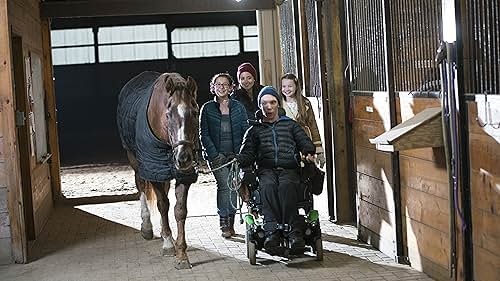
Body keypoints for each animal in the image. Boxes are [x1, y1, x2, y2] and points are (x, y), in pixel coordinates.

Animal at [116, 71, 199, 268]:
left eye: (194, 112)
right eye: (168, 114)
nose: (183, 158)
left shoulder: (182, 174)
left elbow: (179, 210)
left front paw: (182, 254)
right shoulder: (153, 169)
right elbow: (162, 204)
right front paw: (169, 245)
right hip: (135, 160)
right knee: (141, 187)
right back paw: (147, 227)